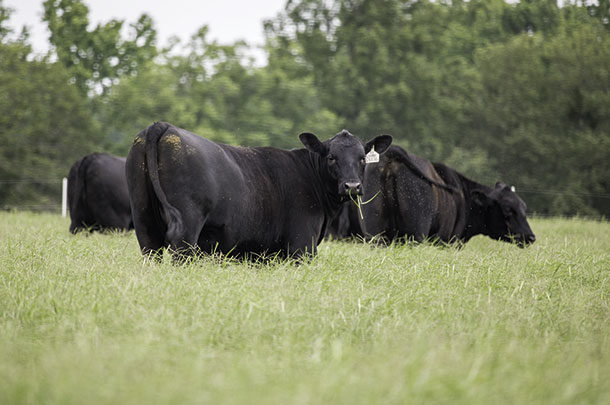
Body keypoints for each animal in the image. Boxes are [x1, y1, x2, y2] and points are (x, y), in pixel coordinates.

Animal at [126, 120, 392, 258]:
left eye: (362, 157)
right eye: (331, 157)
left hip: (144, 220)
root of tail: (164, 126)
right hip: (186, 227)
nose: (352, 186)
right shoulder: (302, 244)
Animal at [330, 145, 536, 246]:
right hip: (415, 233)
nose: (531, 237)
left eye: (524, 208)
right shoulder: (447, 242)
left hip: (375, 232)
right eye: (508, 211)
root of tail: (392, 154)